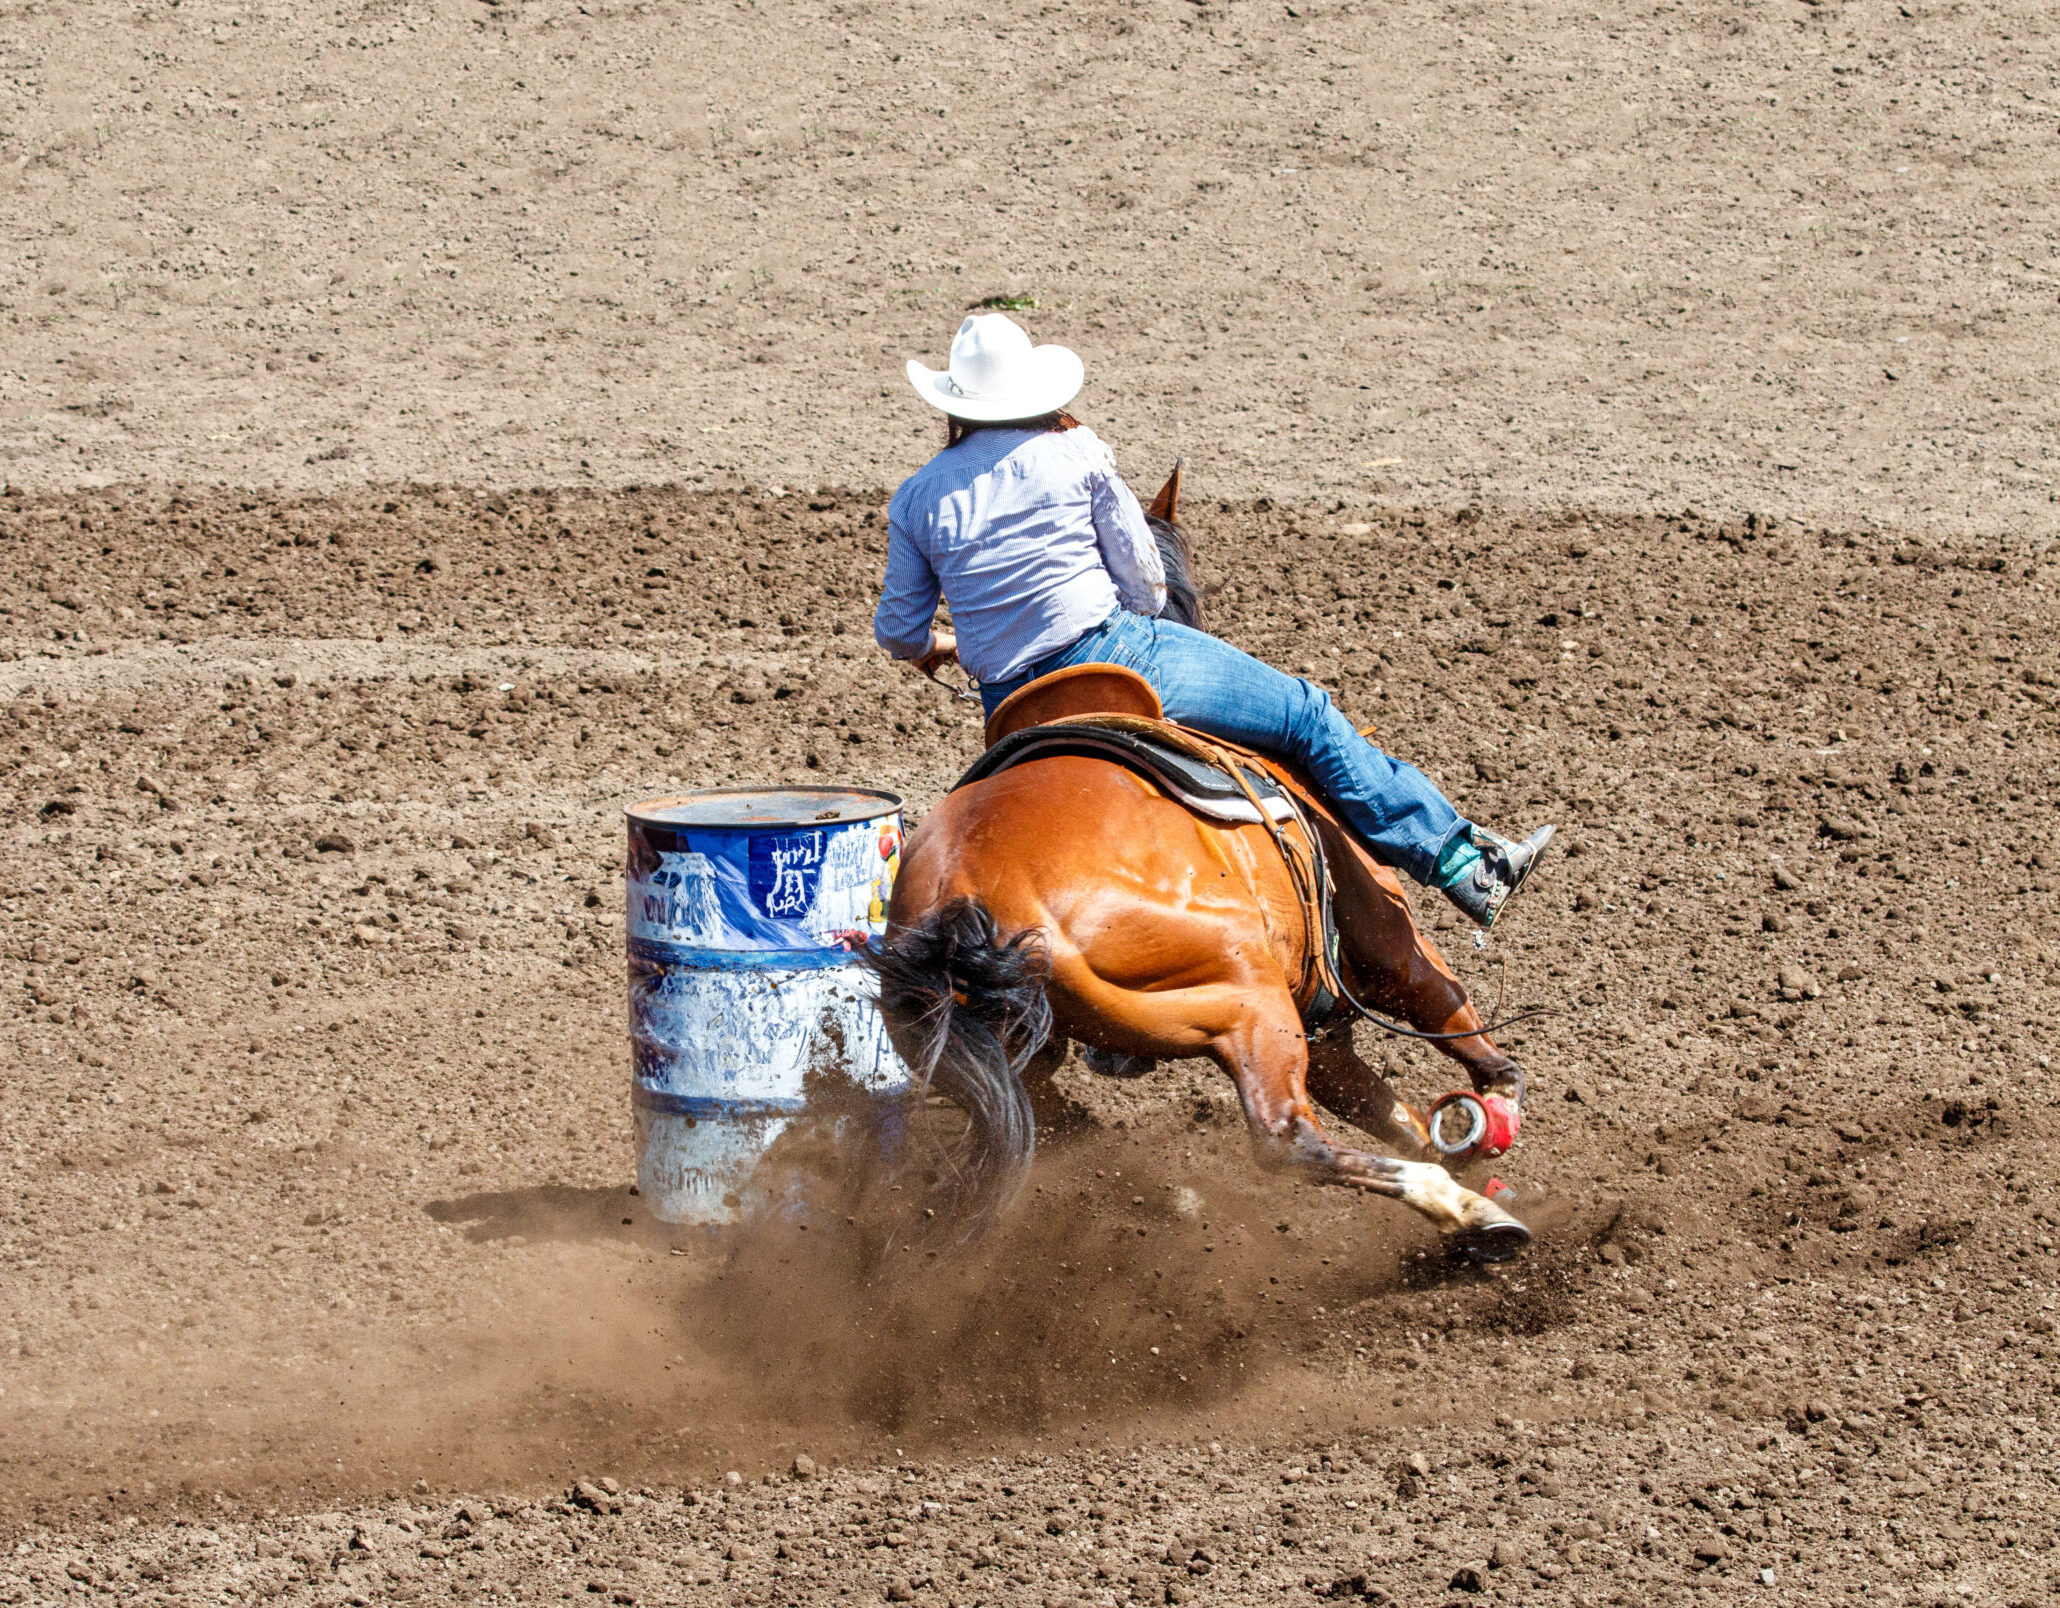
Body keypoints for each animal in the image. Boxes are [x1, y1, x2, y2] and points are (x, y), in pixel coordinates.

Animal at [861, 471, 1540, 1260]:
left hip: (1019, 1053)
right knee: (1286, 1141)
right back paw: (1471, 1211)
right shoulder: (1382, 941)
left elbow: (1389, 1110)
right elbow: (1441, 1002)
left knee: (1063, 1131)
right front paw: (1495, 1105)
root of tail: (965, 894)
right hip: (1246, 997)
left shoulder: (1324, 1031)